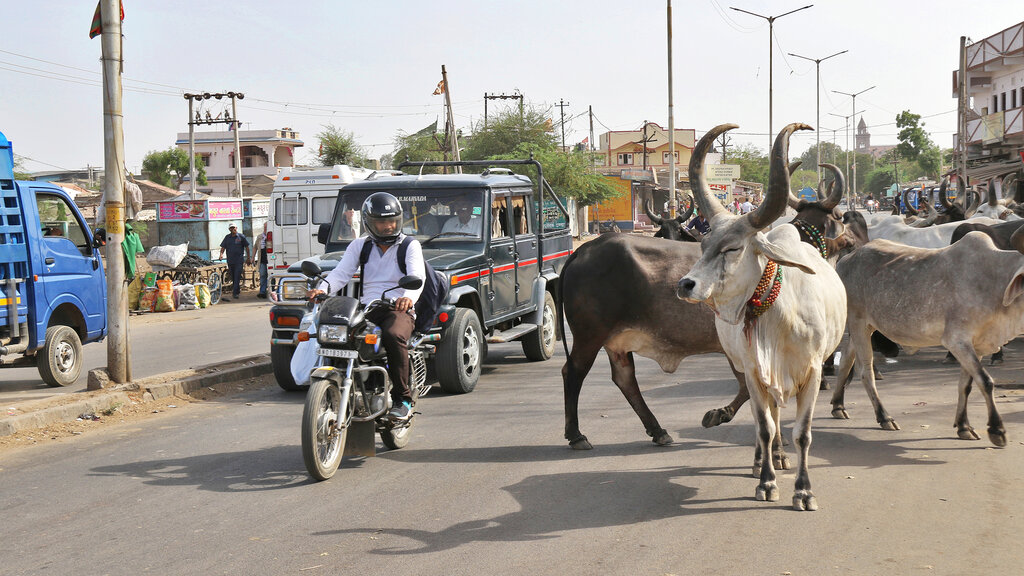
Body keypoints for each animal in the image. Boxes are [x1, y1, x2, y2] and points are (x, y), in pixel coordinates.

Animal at [675, 123, 843, 508]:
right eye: (703, 244)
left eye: (733, 248)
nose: (686, 284)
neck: (782, 318)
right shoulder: (754, 370)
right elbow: (764, 426)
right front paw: (766, 481)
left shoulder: (812, 372)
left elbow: (803, 434)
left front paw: (804, 490)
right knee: (764, 417)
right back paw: (762, 460)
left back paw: (780, 457)